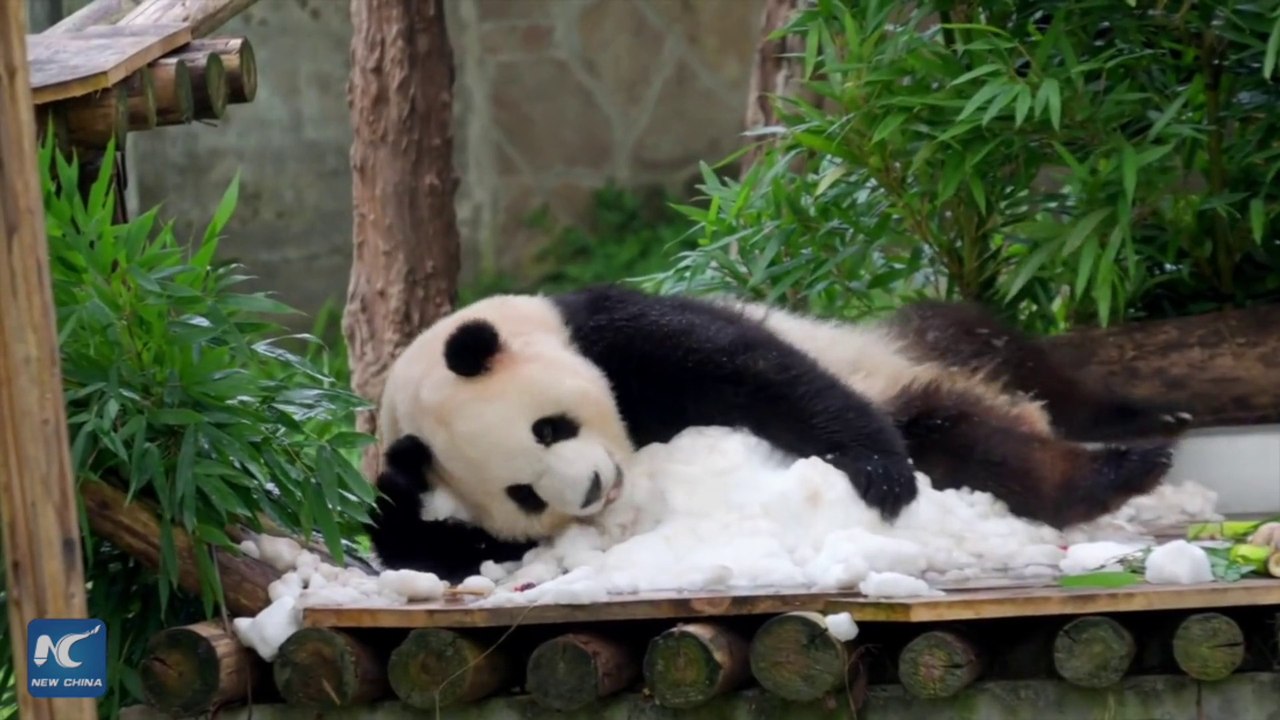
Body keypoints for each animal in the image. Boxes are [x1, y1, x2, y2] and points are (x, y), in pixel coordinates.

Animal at [365, 284, 1193, 583]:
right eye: (525, 494)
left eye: (548, 427)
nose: (595, 488)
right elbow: (411, 533)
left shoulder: (607, 332)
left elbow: (754, 372)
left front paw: (876, 471)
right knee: (971, 439)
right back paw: (1100, 475)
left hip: (906, 341)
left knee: (1010, 359)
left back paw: (1142, 437)